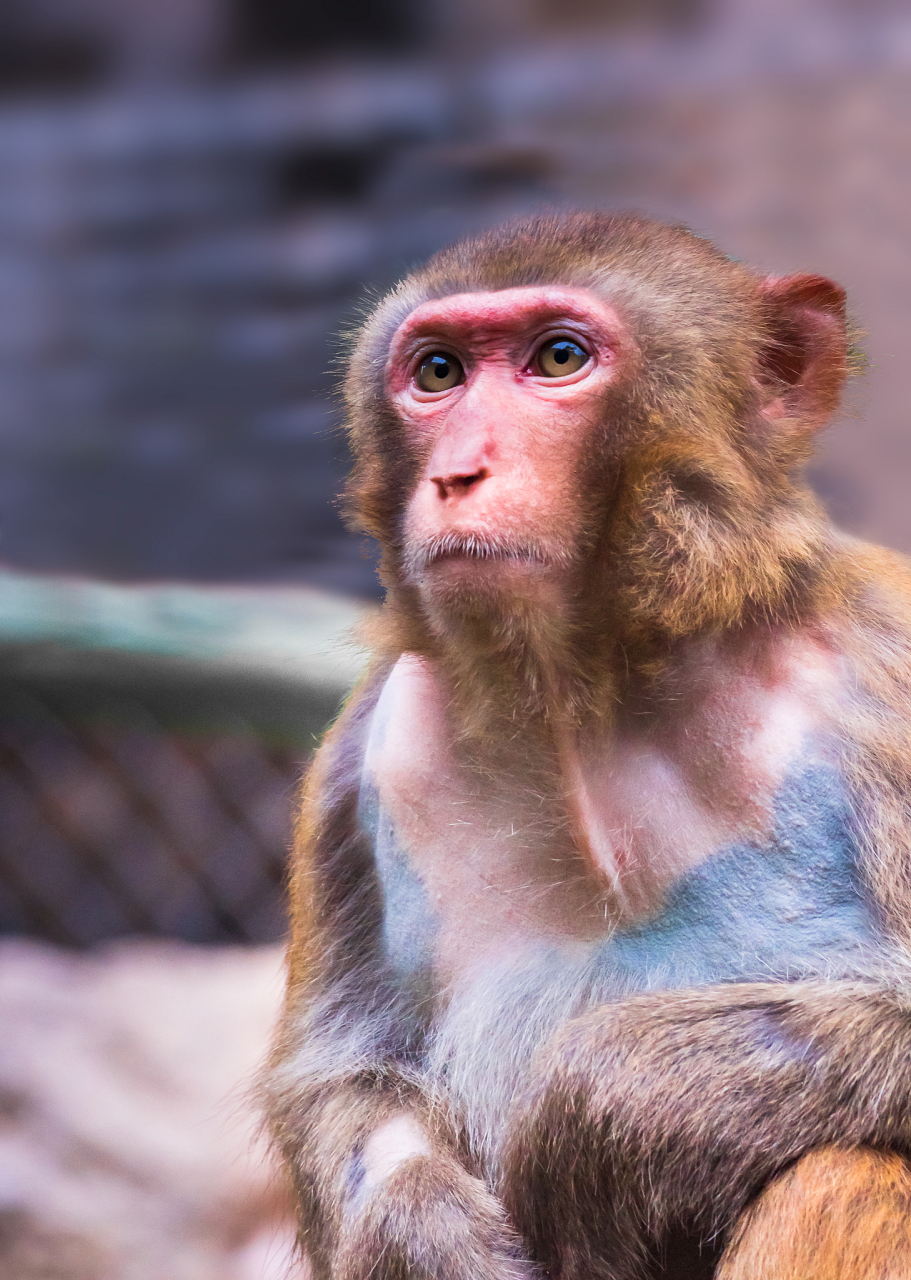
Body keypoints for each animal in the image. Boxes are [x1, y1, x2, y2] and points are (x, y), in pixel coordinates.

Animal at [263, 210, 911, 1280]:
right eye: (437, 373)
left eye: (558, 358)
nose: (457, 474)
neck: (590, 687)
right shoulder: (360, 761)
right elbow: (342, 1077)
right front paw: (420, 1231)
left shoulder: (889, 674)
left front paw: (600, 1112)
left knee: (843, 1170)